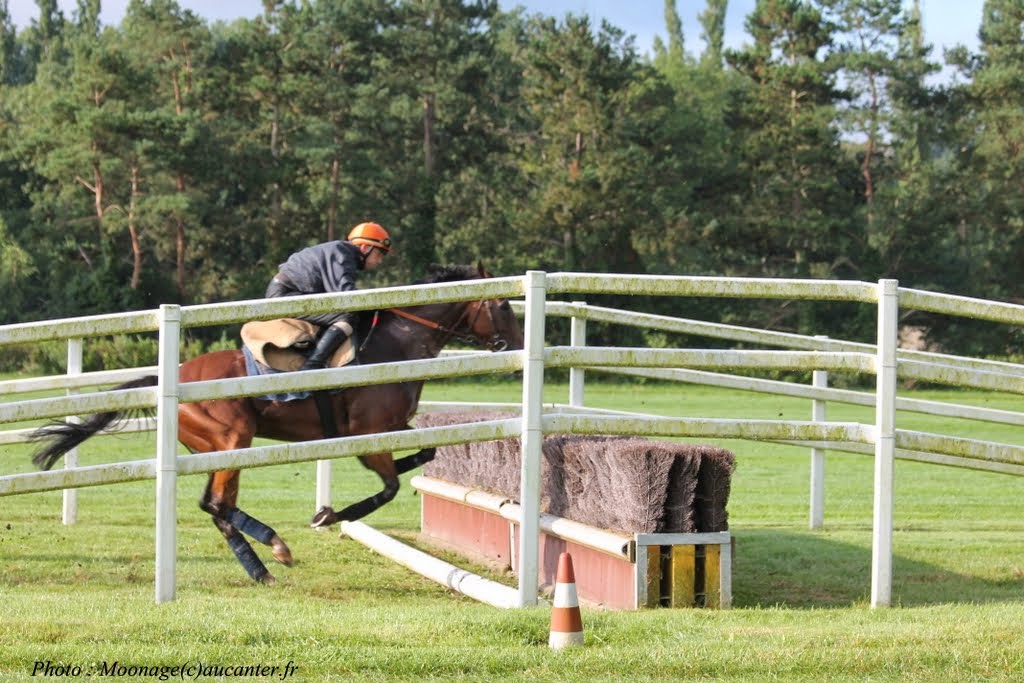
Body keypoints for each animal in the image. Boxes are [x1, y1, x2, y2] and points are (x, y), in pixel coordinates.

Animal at [28, 264, 524, 585]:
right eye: (503, 305)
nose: (519, 345)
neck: (395, 348)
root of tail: (173, 376)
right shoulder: (369, 437)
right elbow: (388, 489)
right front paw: (331, 515)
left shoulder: (394, 427)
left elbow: (427, 451)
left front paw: (329, 512)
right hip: (233, 439)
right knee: (215, 504)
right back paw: (272, 550)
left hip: (218, 450)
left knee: (218, 507)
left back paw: (264, 563)